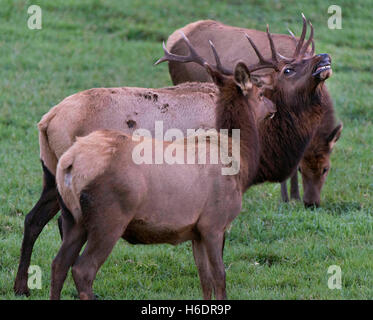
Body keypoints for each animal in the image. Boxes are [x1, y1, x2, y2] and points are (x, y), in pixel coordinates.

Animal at [13, 32, 276, 296]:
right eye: (261, 93)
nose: (274, 108)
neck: (239, 157)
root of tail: (46, 121)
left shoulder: (197, 231)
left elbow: (205, 279)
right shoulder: (214, 223)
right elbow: (219, 277)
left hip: (60, 193)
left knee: (47, 243)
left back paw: (22, 286)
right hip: (108, 219)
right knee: (81, 268)